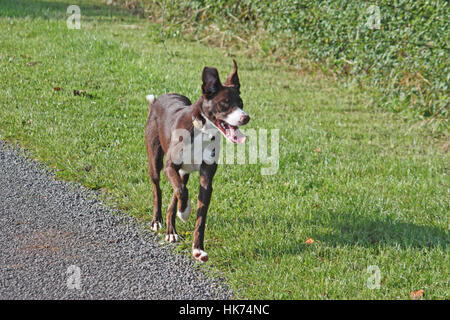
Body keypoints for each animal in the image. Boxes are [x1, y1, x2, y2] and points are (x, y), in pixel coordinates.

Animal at [144, 60, 250, 262]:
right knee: (158, 188)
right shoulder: (170, 166)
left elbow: (200, 217)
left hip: (183, 172)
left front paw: (198, 249)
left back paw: (171, 230)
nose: (245, 117)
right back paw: (157, 220)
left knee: (175, 195)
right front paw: (184, 213)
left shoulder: (206, 179)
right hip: (155, 160)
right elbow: (181, 191)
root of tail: (158, 99)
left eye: (241, 103)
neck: (203, 131)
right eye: (225, 103)